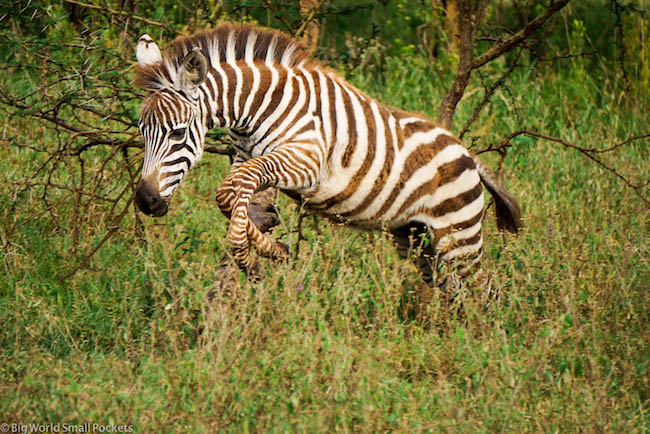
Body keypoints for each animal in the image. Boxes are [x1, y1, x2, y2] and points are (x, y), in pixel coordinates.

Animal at [134, 23, 520, 294]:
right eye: (142, 130)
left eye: (177, 133)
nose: (145, 201)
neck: (258, 108)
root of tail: (467, 153)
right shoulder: (244, 158)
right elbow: (228, 195)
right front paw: (273, 249)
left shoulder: (306, 159)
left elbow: (234, 189)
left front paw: (249, 258)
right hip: (417, 238)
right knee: (450, 290)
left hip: (458, 237)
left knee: (483, 288)